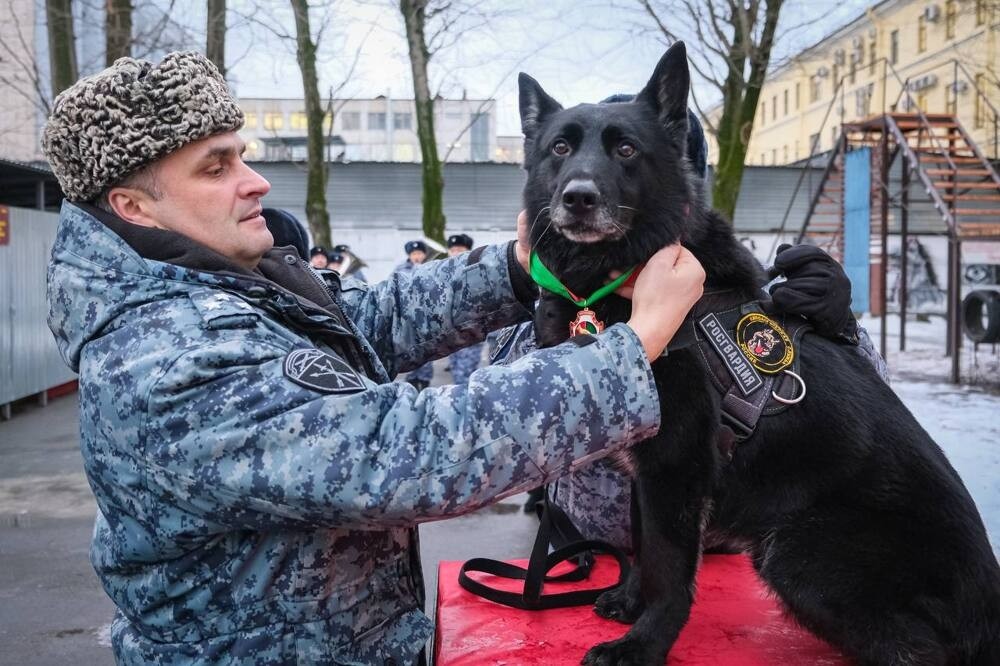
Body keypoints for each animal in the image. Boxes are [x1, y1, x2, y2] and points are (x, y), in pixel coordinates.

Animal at [524, 44, 1000, 660]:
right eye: (560, 148)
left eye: (626, 149)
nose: (578, 198)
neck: (624, 274)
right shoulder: (648, 470)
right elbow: (643, 544)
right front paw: (629, 602)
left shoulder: (676, 466)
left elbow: (668, 568)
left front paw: (644, 643)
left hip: (798, 553)